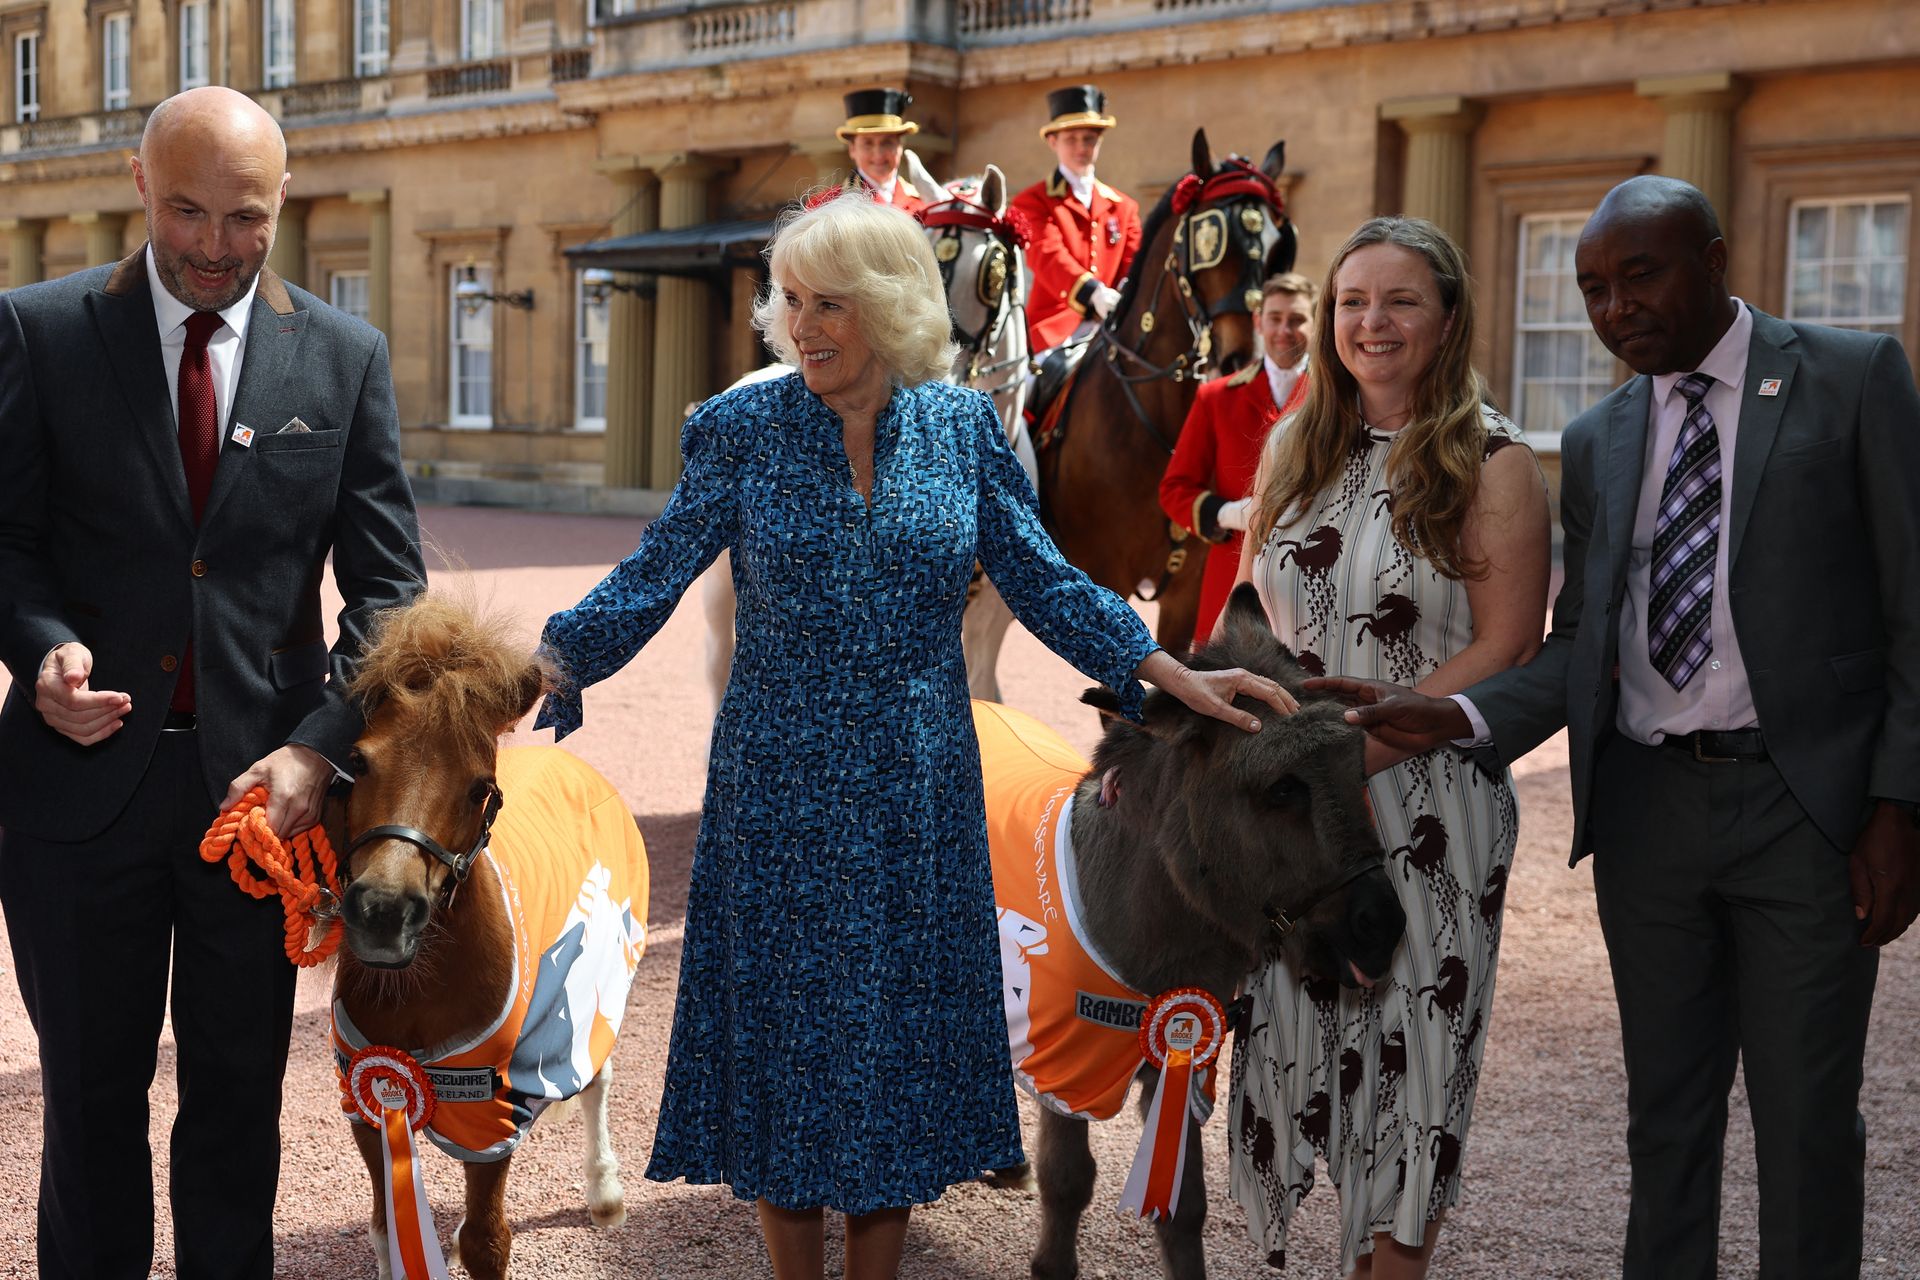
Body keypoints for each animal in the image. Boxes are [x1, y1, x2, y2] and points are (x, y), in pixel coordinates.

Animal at [332, 595, 647, 1280]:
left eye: (480, 787)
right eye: (359, 761)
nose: (382, 912)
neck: (419, 988)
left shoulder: (489, 1111)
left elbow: (488, 1240)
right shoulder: (367, 1102)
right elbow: (387, 1231)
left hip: (595, 992)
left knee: (597, 1078)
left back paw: (606, 1195)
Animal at [982, 583, 1404, 1280]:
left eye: (1359, 771)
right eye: (1281, 789)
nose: (1384, 928)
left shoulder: (1185, 1065)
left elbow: (1184, 1206)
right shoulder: (1065, 1075)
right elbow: (1069, 1180)